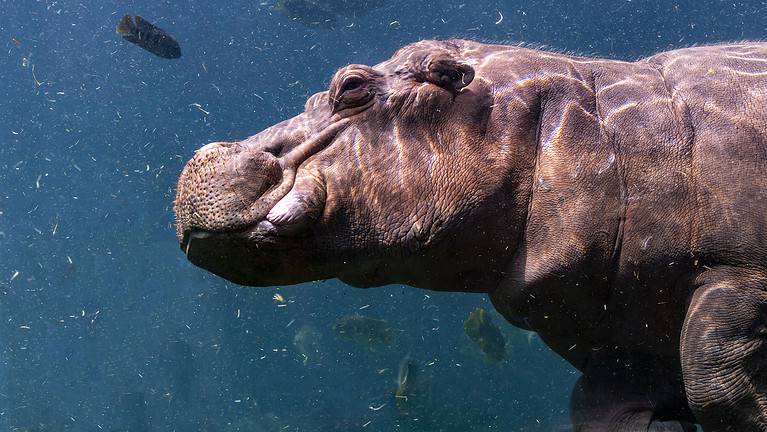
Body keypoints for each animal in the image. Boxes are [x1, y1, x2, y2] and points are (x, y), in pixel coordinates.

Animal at [174, 39, 767, 431]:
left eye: (352, 86)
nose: (210, 153)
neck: (602, 127)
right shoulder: (622, 348)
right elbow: (603, 409)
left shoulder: (739, 273)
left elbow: (712, 376)